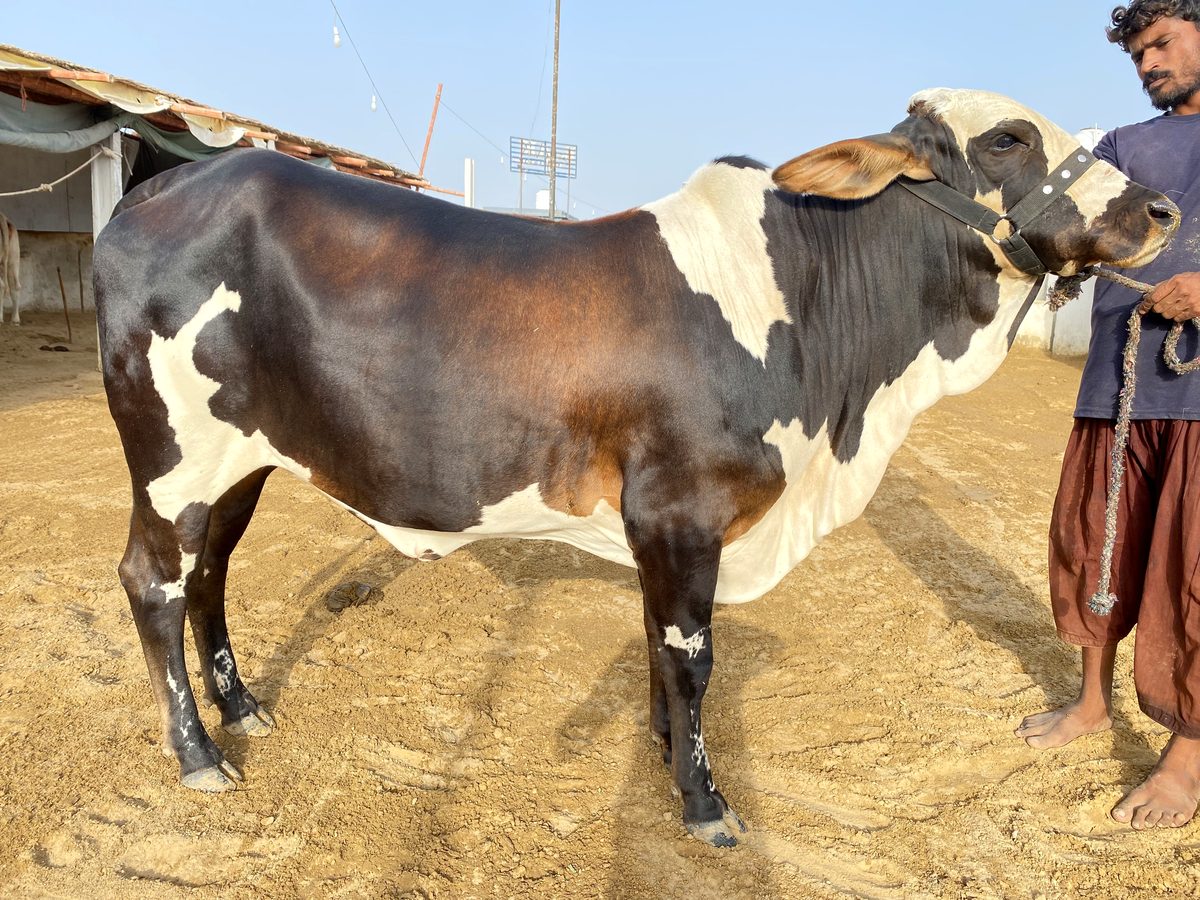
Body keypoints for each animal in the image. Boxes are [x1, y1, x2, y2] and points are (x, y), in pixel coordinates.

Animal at [94, 88, 1178, 847]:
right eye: (1008, 138)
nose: (1162, 209)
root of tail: (167, 185)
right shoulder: (679, 510)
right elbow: (691, 658)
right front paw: (703, 800)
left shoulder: (662, 527)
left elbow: (660, 647)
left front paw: (664, 758)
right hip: (171, 456)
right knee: (153, 581)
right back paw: (197, 753)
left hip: (244, 462)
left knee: (210, 575)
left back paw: (243, 707)